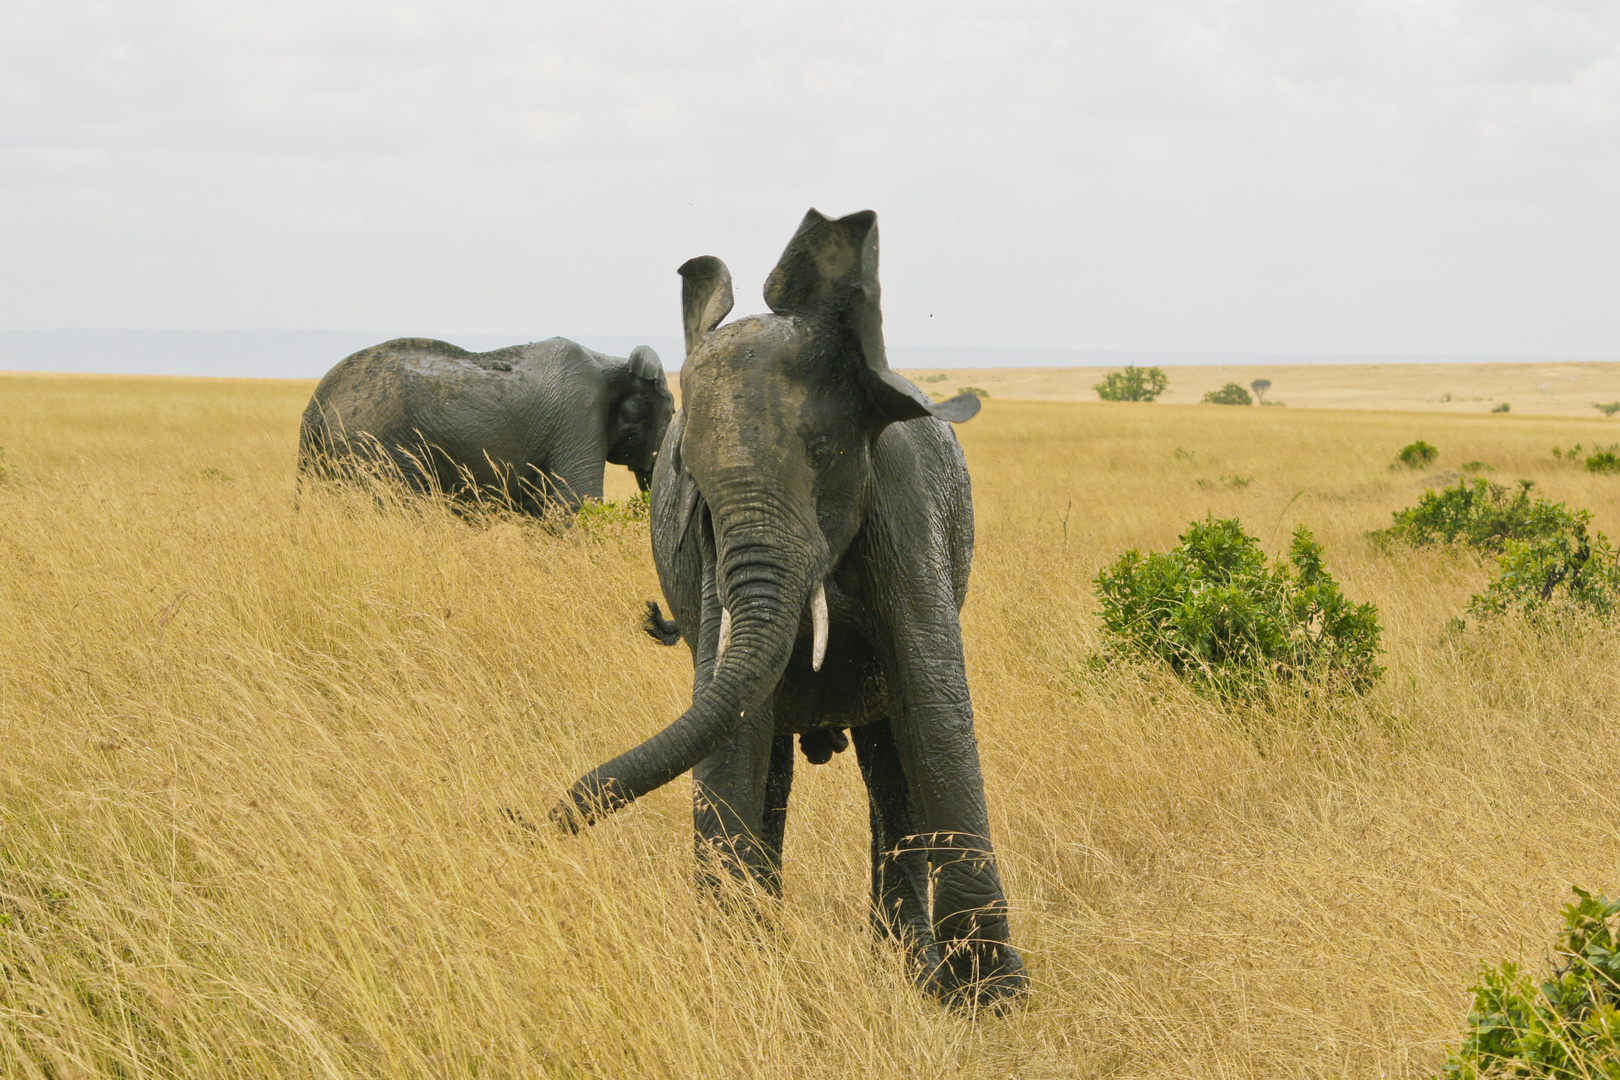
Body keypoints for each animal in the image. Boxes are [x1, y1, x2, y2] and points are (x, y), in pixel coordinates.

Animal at [544, 213, 1023, 1016]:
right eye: (690, 476)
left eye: (824, 451)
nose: (534, 817)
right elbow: (734, 729)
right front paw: (736, 976)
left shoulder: (904, 505)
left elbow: (932, 701)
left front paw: (990, 1001)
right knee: (768, 752)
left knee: (888, 763)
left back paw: (908, 964)